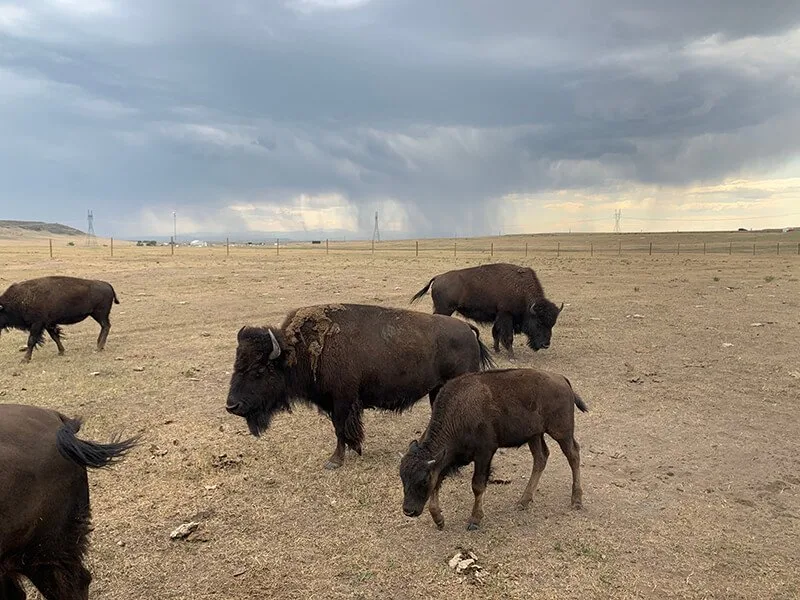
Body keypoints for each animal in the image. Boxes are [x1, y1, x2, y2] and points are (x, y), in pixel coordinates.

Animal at [225, 304, 494, 468]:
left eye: (259, 370)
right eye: (236, 364)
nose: (231, 406)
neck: (299, 350)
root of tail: (467, 329)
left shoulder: (342, 400)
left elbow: (340, 429)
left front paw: (335, 460)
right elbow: (341, 429)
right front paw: (352, 451)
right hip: (437, 389)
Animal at [400, 368, 588, 532]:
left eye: (423, 480)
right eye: (403, 478)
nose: (409, 511)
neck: (458, 414)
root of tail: (561, 379)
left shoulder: (484, 454)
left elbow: (477, 485)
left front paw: (474, 520)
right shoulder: (446, 461)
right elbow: (438, 483)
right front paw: (439, 520)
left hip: (561, 432)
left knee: (573, 455)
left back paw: (576, 500)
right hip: (534, 435)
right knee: (540, 458)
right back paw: (523, 501)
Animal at [412, 262, 564, 356]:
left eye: (552, 324)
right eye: (539, 323)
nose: (546, 344)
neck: (521, 290)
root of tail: (438, 277)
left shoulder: (498, 316)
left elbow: (495, 333)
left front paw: (497, 350)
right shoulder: (506, 315)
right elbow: (507, 337)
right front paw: (512, 355)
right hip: (444, 310)